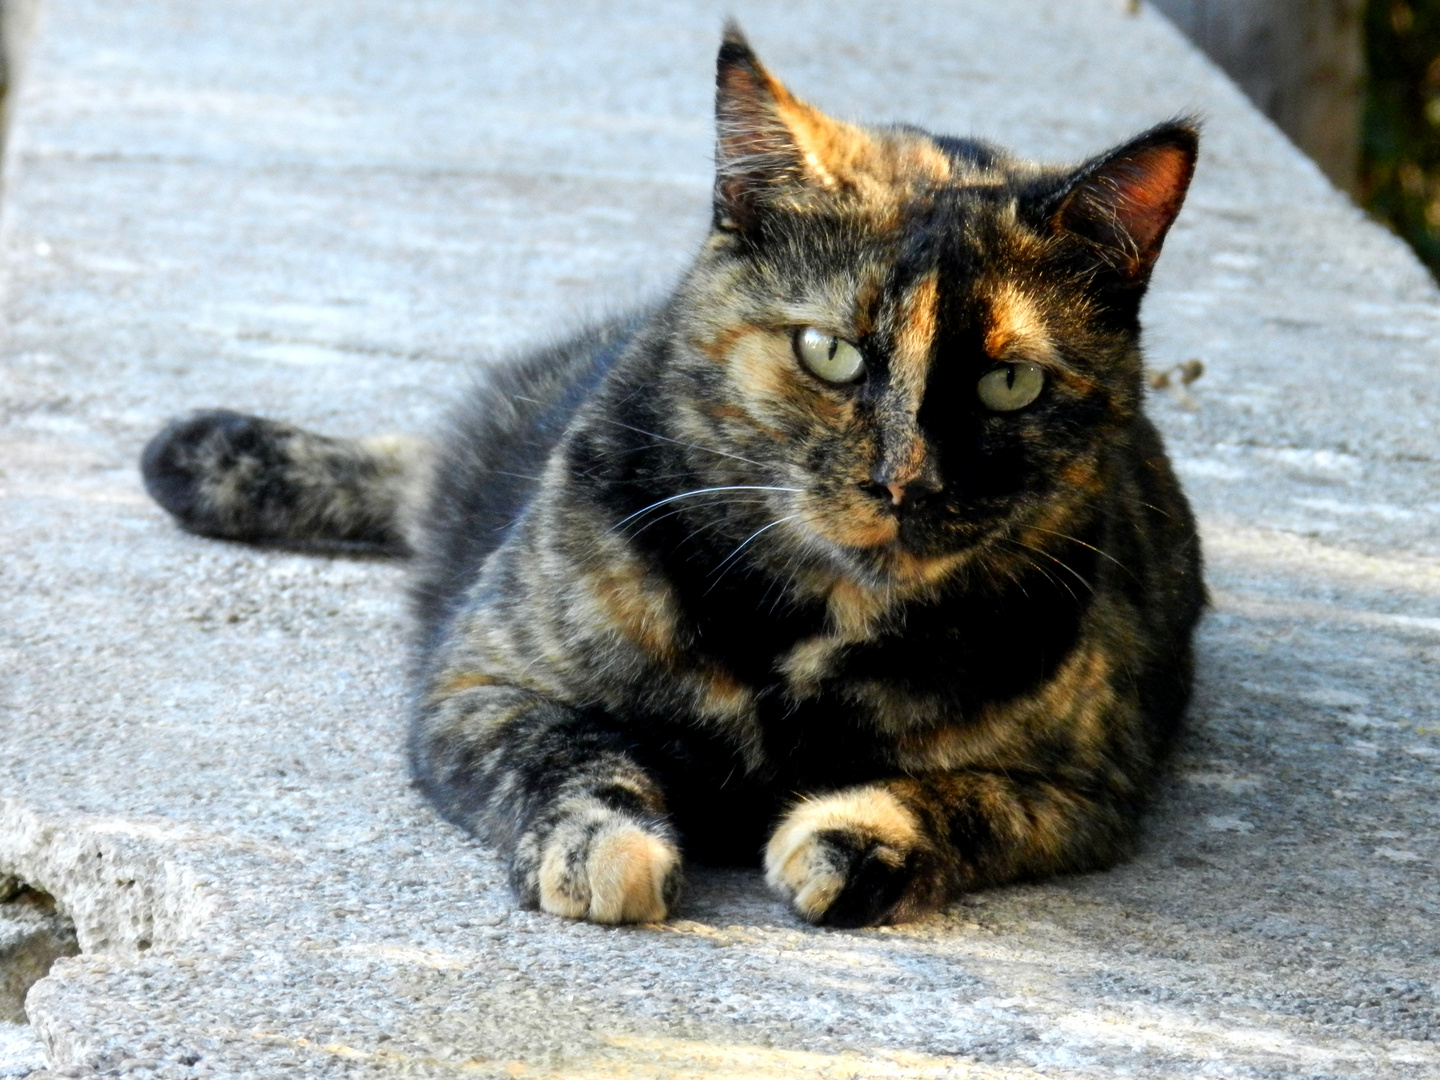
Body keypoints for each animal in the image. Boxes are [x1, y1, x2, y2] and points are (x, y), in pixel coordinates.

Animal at [143, 29, 1203, 933]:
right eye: (829, 353)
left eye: (1009, 384)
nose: (905, 483)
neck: (813, 627)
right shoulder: (479, 684)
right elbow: (567, 754)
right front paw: (600, 849)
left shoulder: (1089, 789)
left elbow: (969, 803)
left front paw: (855, 841)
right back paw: (200, 456)